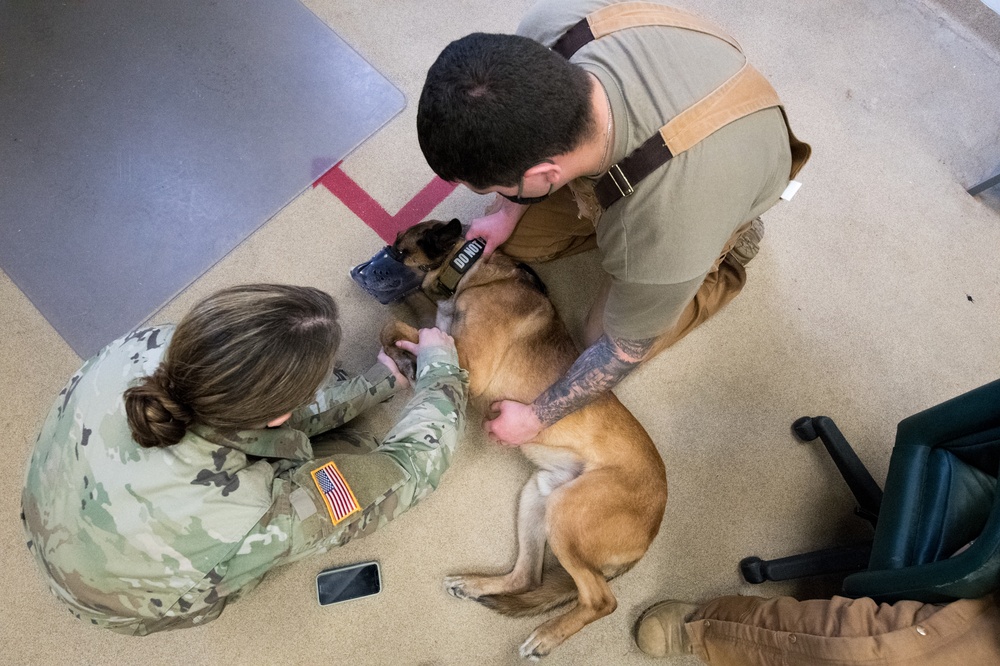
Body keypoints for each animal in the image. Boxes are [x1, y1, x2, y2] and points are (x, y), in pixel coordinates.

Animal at [378, 219, 668, 660]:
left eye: (398, 248)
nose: (377, 263)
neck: (474, 269)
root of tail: (653, 530)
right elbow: (412, 323)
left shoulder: (467, 362)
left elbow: (397, 327)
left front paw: (403, 356)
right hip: (540, 494)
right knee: (527, 577)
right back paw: (474, 584)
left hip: (567, 512)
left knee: (601, 600)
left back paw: (546, 636)